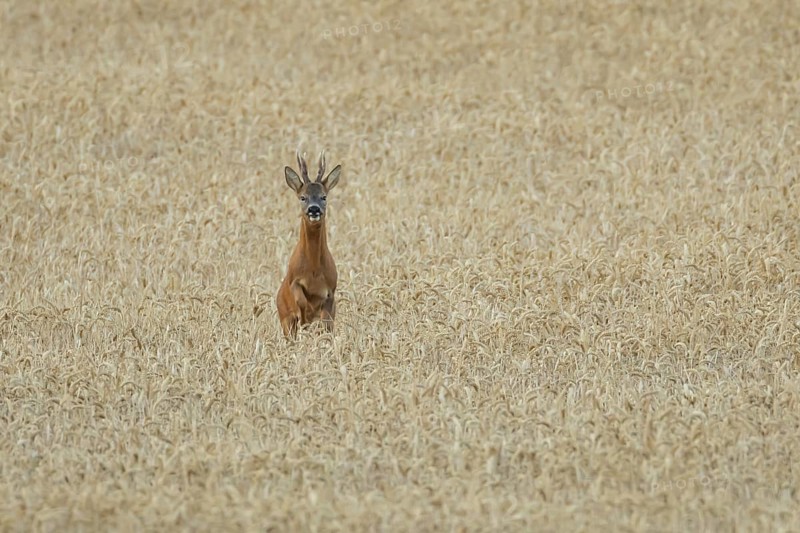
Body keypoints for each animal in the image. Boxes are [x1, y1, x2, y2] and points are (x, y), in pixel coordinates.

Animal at [276, 150, 342, 338]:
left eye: (324, 197)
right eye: (302, 197)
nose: (314, 209)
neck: (313, 270)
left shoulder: (331, 290)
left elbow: (326, 321)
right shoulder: (294, 280)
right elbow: (301, 300)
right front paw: (304, 319)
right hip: (284, 318)